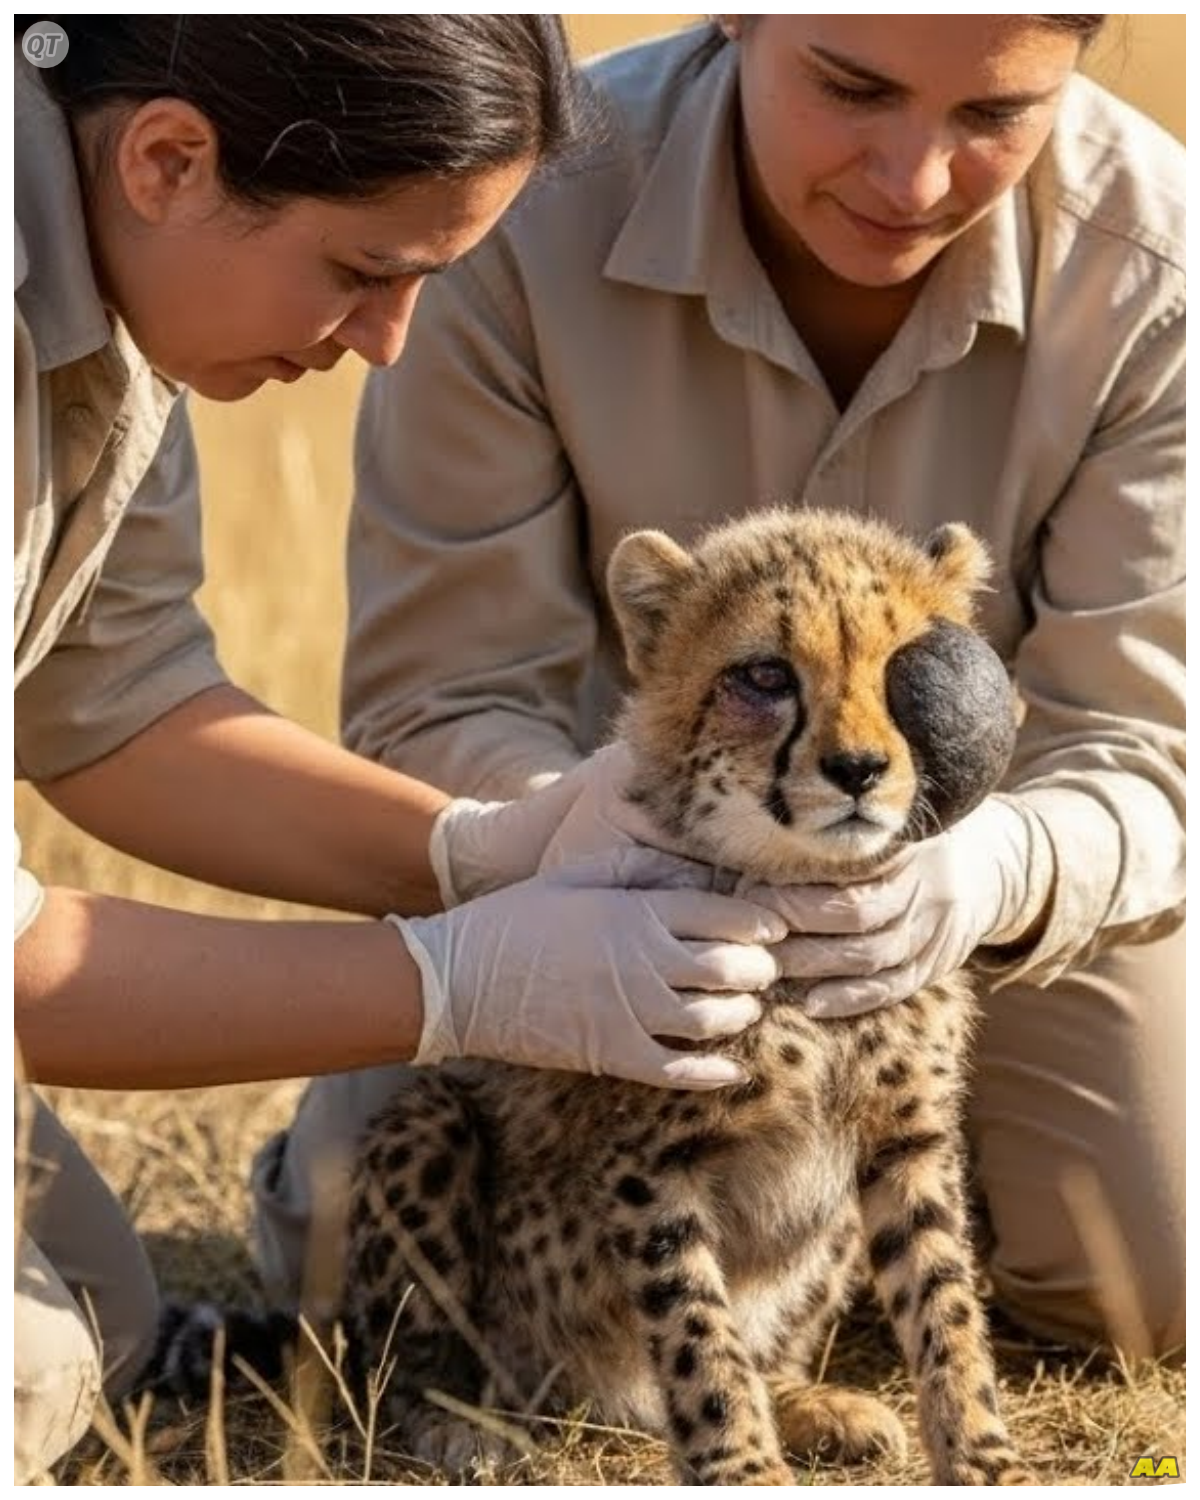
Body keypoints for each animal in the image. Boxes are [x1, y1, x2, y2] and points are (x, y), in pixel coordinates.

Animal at [342, 506, 1033, 1485]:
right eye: (766, 676)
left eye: (905, 668)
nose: (858, 769)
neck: (797, 894)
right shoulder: (654, 1161)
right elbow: (700, 1338)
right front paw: (743, 1467)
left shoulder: (906, 1140)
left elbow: (945, 1306)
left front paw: (985, 1459)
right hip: (431, 1130)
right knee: (411, 1354)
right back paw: (458, 1424)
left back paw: (810, 1404)